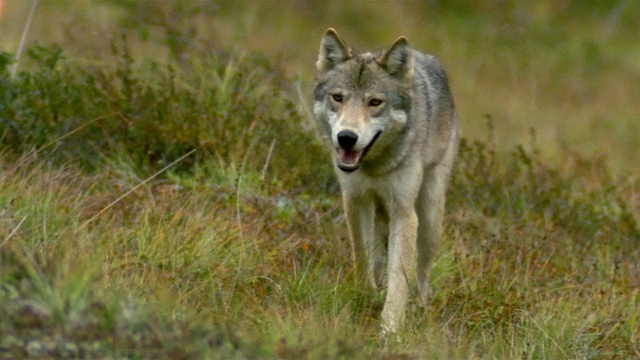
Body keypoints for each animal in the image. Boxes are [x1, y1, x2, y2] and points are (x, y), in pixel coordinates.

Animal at [312, 28, 458, 334]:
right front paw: (364, 297)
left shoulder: (405, 213)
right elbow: (362, 256)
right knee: (378, 257)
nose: (346, 137)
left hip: (430, 216)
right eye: (338, 97)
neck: (373, 168)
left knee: (422, 273)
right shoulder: (354, 201)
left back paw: (419, 308)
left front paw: (390, 328)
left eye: (375, 102)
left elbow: (399, 276)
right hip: (380, 212)